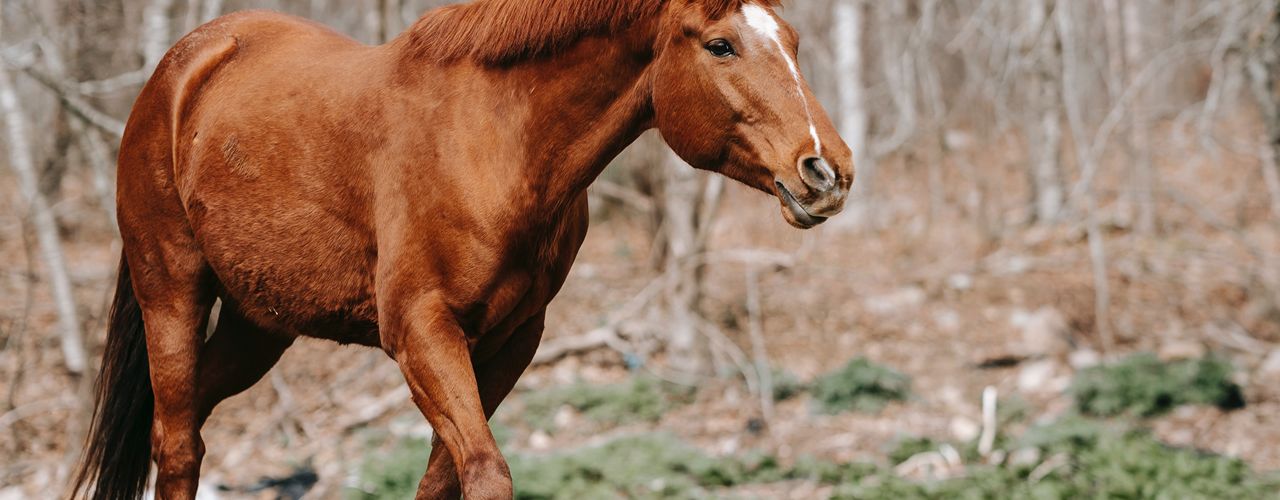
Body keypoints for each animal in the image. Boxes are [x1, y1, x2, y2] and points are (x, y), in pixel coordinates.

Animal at [70, 0, 849, 498]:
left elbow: (444, 479)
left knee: (186, 423)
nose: (827, 170)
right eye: (720, 45)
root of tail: (183, 65)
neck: (493, 143)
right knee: (176, 446)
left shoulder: (508, 342)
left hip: (258, 325)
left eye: (792, 40)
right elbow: (485, 474)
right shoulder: (422, 332)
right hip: (171, 289)